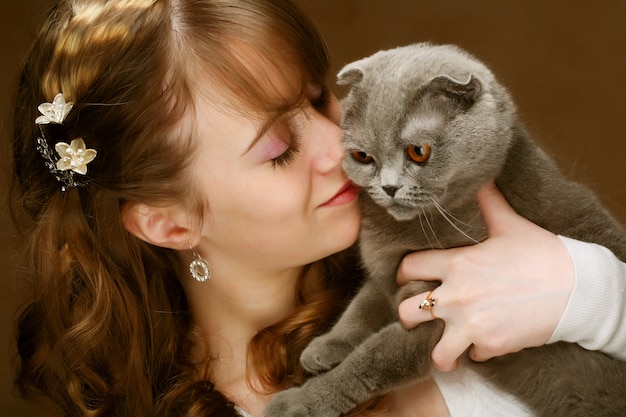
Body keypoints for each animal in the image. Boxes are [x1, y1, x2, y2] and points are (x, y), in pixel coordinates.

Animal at [260, 43, 624, 416]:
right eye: (362, 156)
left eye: (418, 152)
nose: (389, 187)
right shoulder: (389, 270)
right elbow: (362, 306)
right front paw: (325, 346)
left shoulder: (437, 315)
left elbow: (372, 359)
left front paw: (301, 402)